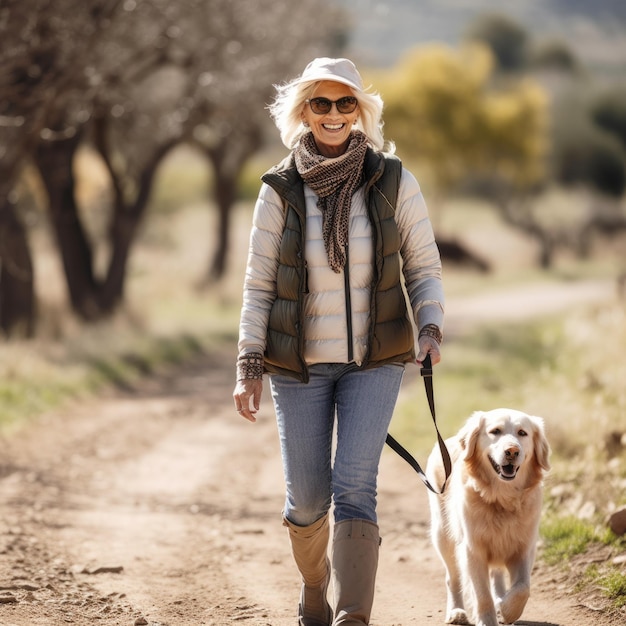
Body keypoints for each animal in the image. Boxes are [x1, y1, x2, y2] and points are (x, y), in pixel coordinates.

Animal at [424, 408, 552, 624]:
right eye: (495, 431)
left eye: (522, 433)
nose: (512, 451)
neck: (502, 499)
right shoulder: (472, 549)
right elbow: (482, 594)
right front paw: (487, 620)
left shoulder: (524, 547)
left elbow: (523, 587)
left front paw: (507, 609)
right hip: (443, 536)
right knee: (453, 578)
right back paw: (456, 611)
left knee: (497, 575)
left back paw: (500, 598)